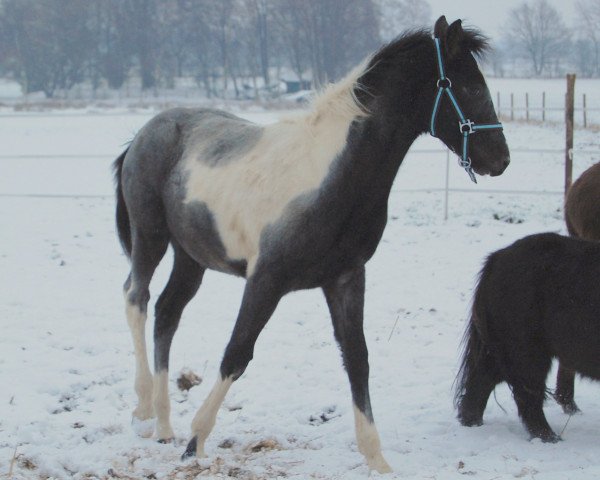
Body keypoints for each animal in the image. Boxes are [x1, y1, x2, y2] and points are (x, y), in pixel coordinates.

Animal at [112, 15, 506, 472]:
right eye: (470, 86)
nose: (500, 159)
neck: (334, 177)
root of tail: (142, 134)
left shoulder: (345, 279)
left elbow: (357, 359)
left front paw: (377, 460)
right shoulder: (266, 280)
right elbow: (237, 353)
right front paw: (196, 440)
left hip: (192, 258)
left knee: (167, 313)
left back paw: (163, 425)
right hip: (151, 237)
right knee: (137, 299)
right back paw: (144, 410)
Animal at [454, 232, 600, 442]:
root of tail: (496, 259)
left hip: (498, 351)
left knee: (480, 383)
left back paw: (473, 424)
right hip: (526, 351)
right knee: (527, 396)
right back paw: (549, 437)